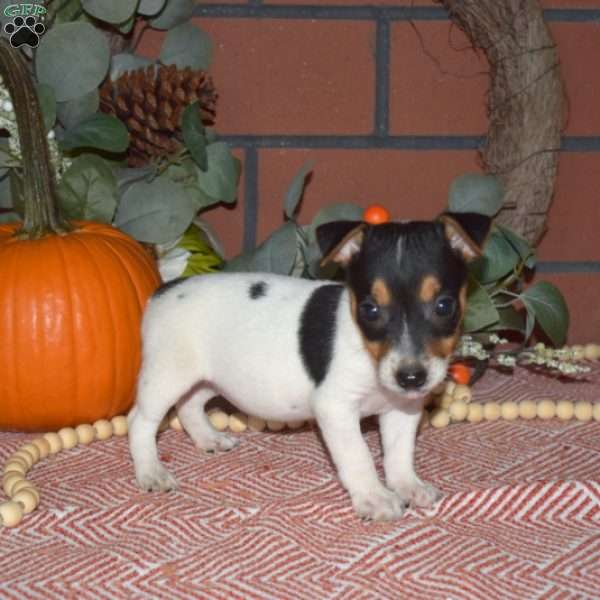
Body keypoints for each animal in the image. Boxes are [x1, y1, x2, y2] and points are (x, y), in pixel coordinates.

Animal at [129, 212, 490, 520]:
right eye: (370, 310)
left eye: (444, 306)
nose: (411, 377)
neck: (367, 353)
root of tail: (166, 287)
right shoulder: (335, 408)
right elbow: (358, 455)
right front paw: (375, 497)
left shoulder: (402, 409)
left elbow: (399, 453)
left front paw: (408, 486)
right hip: (166, 376)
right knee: (141, 422)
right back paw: (151, 471)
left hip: (212, 379)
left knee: (189, 406)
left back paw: (208, 439)